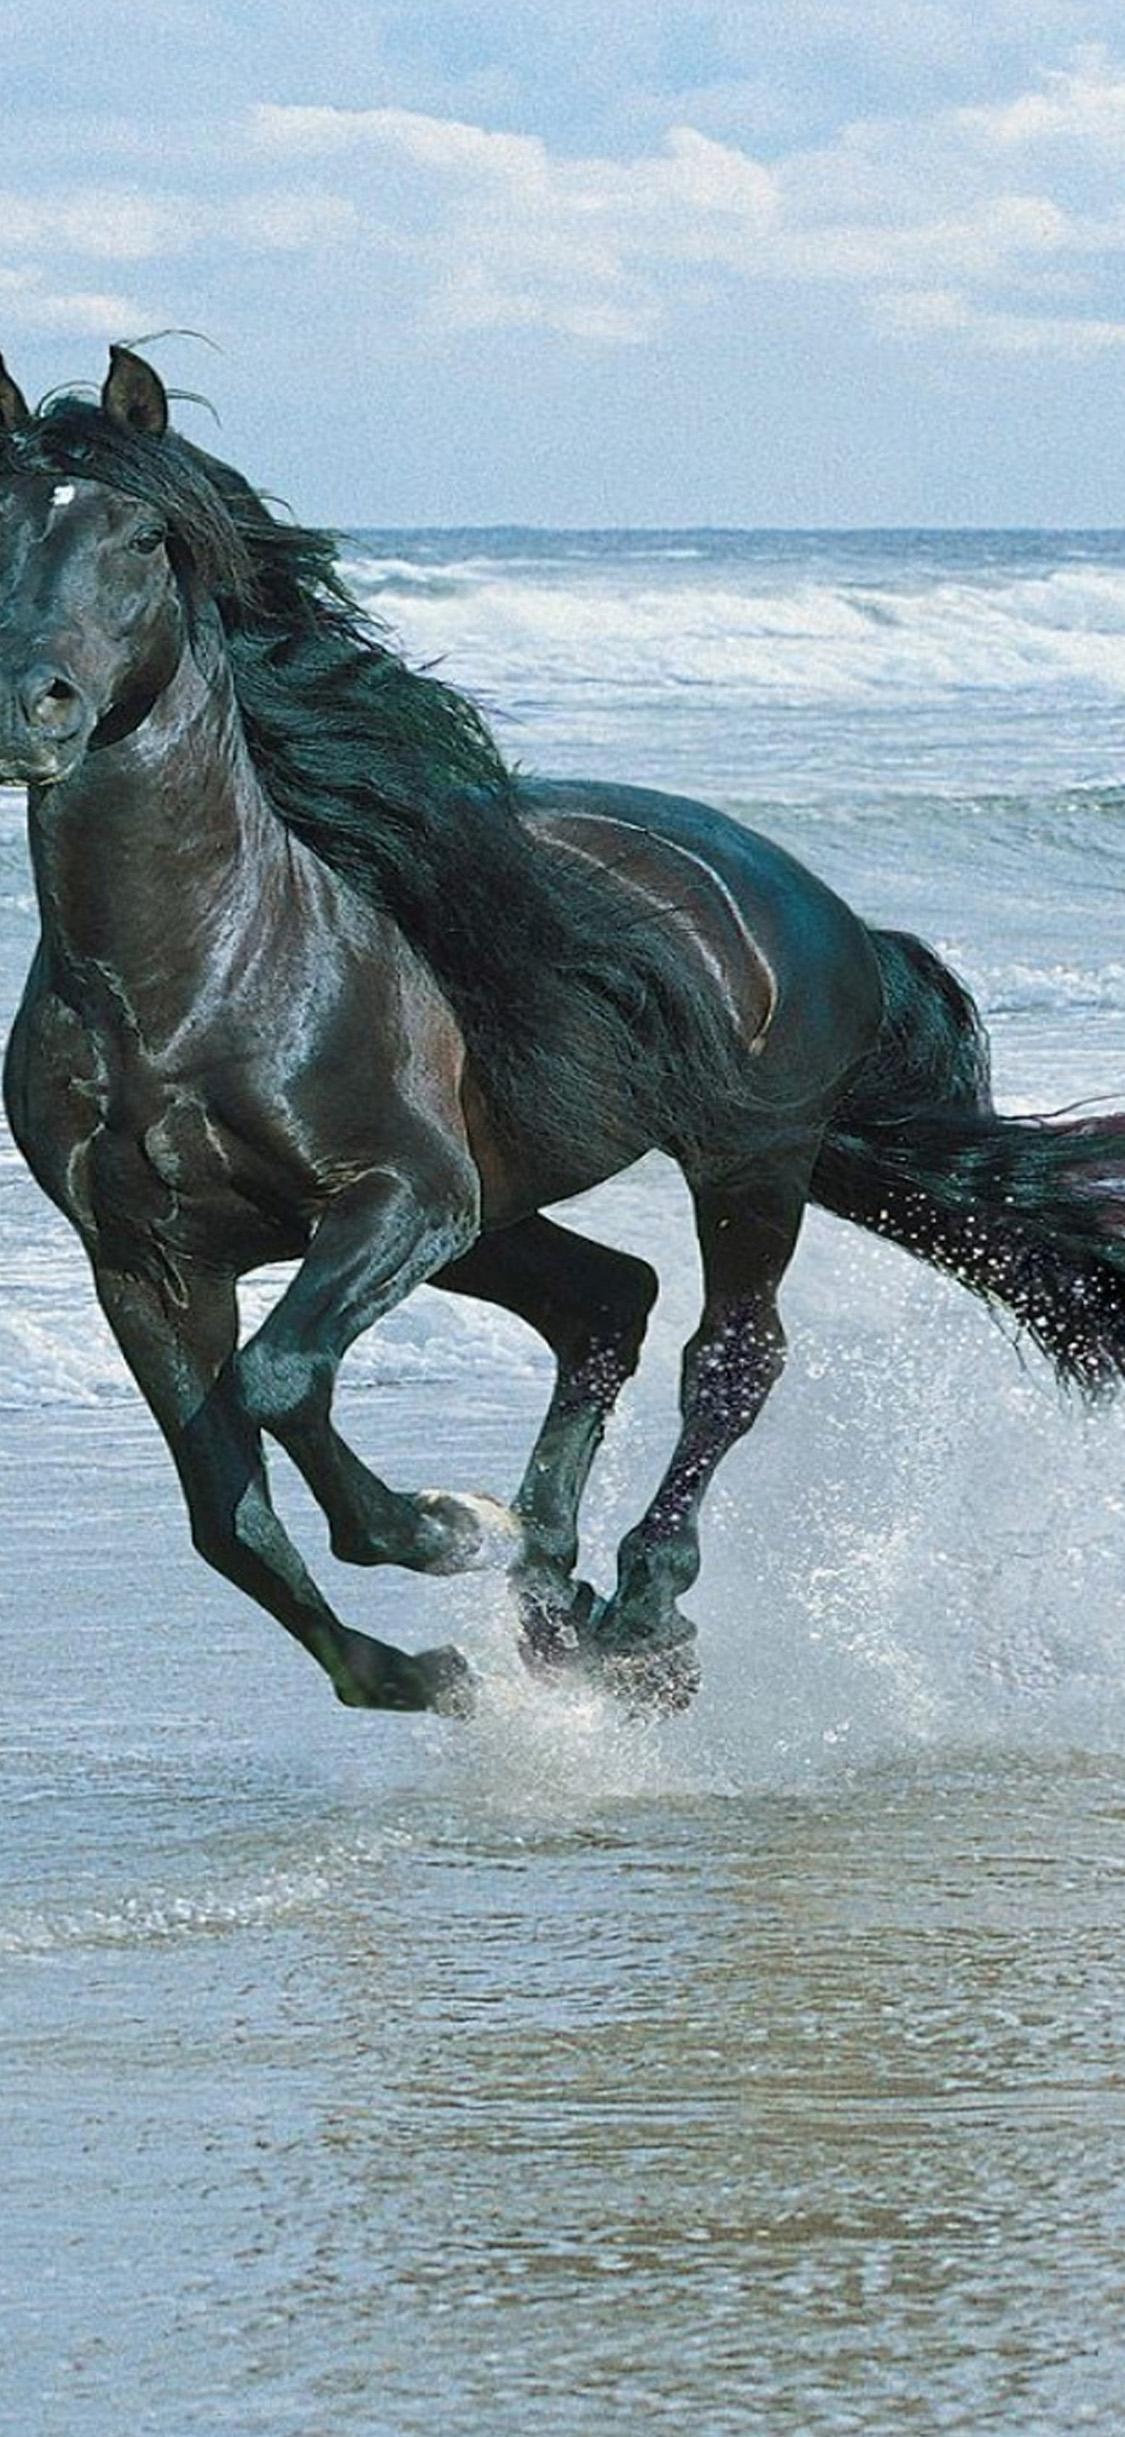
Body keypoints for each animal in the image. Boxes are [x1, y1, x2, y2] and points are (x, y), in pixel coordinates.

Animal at [3, 345, 1125, 1721]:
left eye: (146, 536)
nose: (31, 707)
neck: (188, 983)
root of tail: (817, 902)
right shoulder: (144, 1263)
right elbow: (228, 1515)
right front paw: (423, 1666)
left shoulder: (400, 1199)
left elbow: (277, 1379)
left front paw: (443, 1526)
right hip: (505, 1213)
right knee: (607, 1303)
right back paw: (554, 1598)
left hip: (744, 1164)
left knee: (729, 1356)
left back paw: (638, 1604)